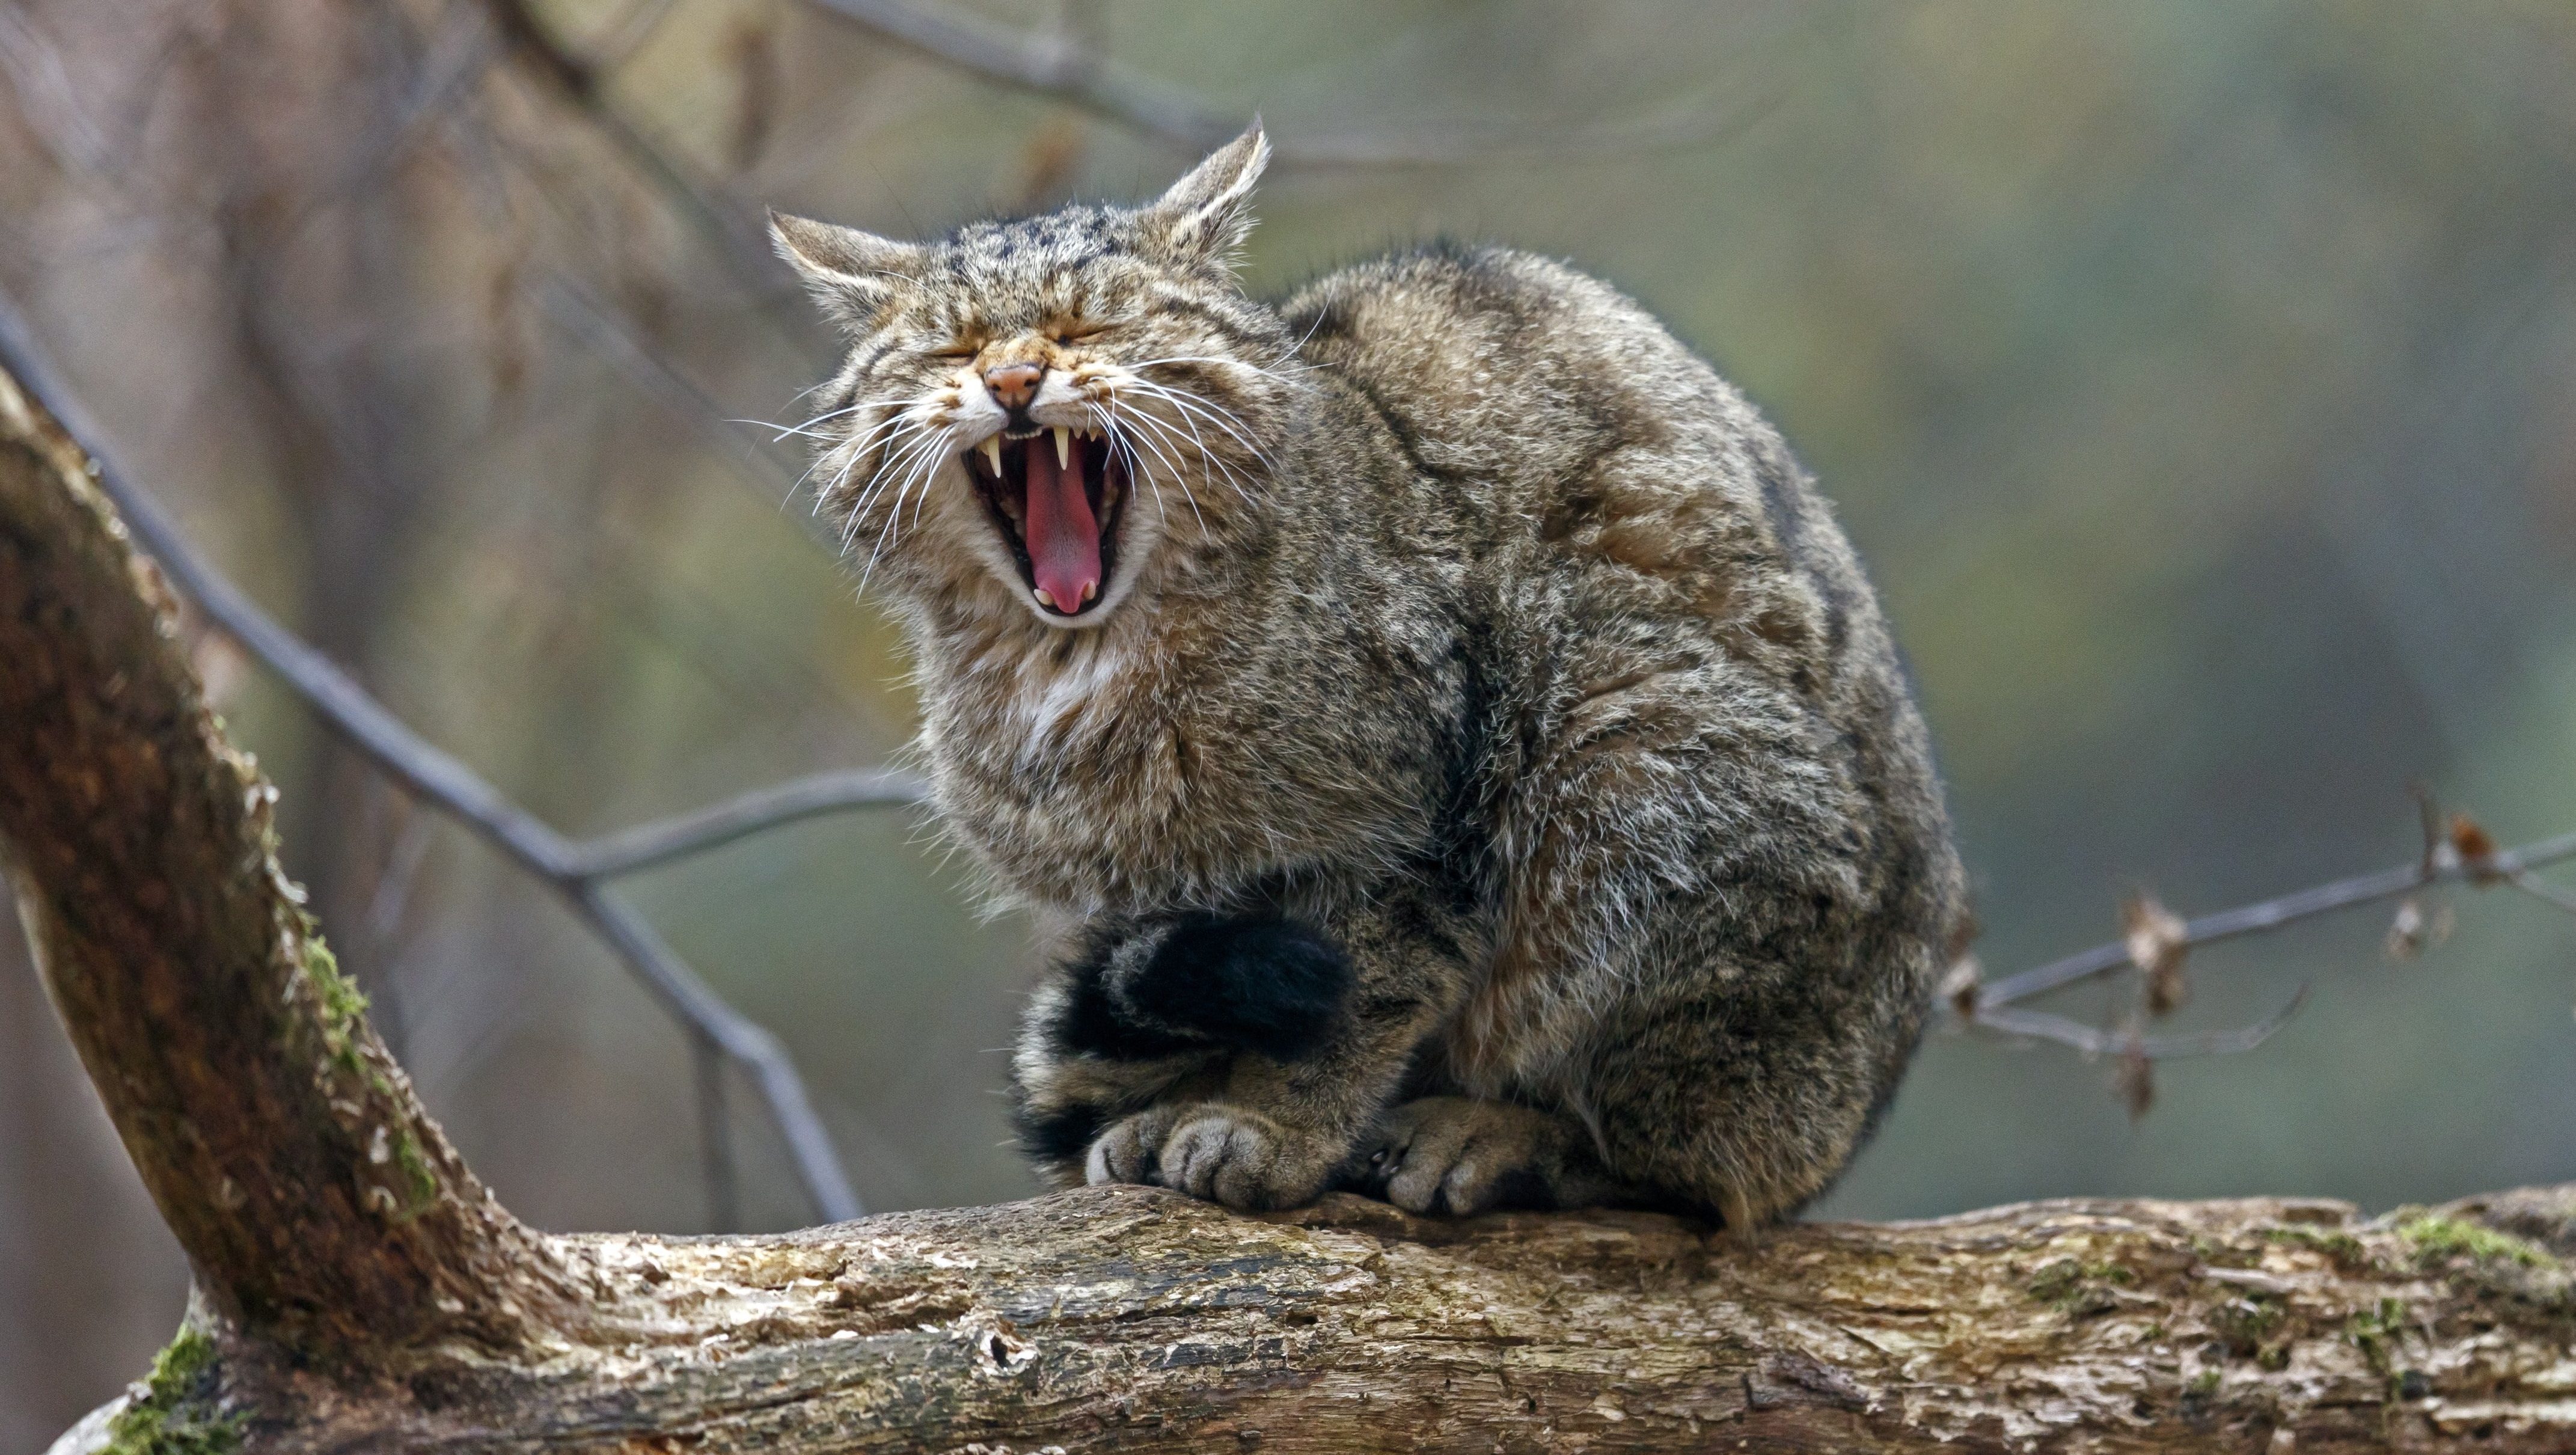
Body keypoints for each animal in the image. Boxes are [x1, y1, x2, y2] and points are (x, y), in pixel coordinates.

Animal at [772, 127, 1957, 1225]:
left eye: (1088, 327)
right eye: (951, 348)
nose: (1013, 377)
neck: (1074, 665)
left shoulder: (1422, 825)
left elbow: (1361, 995)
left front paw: (1270, 1128)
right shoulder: (1152, 897)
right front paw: (1184, 1108)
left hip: (1637, 743)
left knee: (1688, 1171)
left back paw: (1504, 1136)